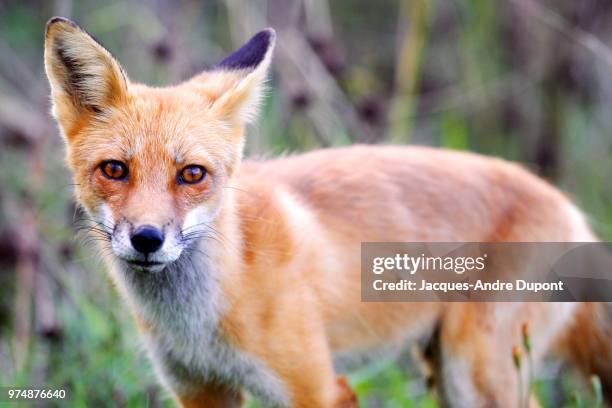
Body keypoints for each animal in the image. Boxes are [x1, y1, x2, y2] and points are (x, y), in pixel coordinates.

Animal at [44, 16, 612, 408]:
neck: (204, 320)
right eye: (115, 169)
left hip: (473, 374)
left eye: (192, 174)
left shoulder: (317, 387)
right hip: (448, 370)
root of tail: (567, 205)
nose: (146, 239)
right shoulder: (199, 390)